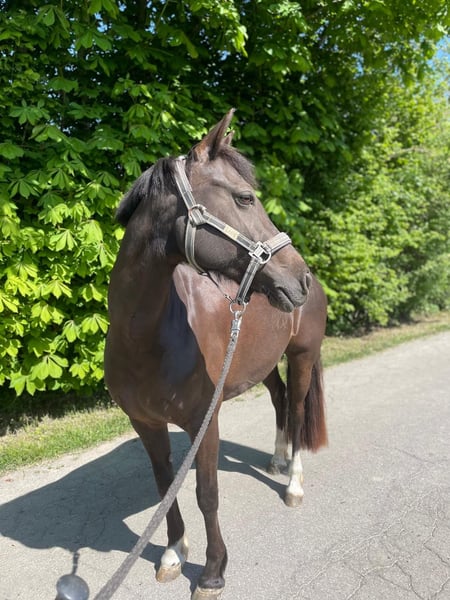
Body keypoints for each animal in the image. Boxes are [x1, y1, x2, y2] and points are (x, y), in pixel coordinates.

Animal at [104, 109, 328, 599]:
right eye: (245, 198)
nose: (298, 279)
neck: (148, 338)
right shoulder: (146, 424)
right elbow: (165, 485)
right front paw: (172, 552)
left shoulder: (204, 421)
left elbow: (206, 493)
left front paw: (212, 571)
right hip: (262, 364)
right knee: (280, 399)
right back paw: (276, 460)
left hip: (302, 357)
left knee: (298, 409)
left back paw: (293, 483)